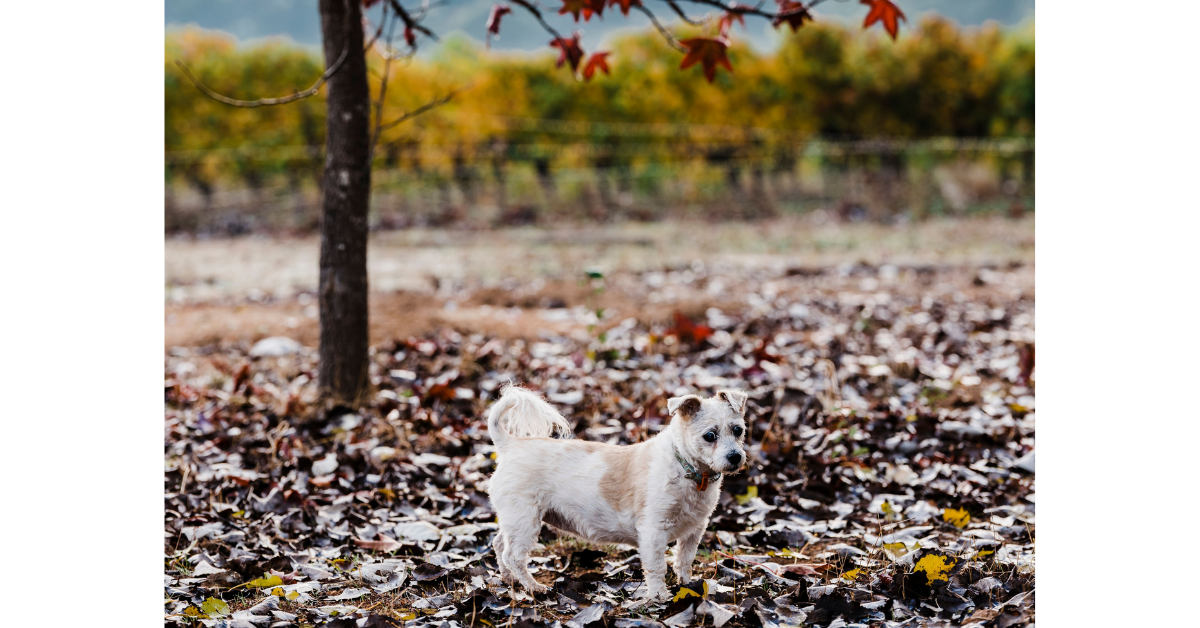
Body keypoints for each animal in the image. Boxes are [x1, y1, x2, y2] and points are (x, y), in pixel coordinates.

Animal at [480, 384, 744, 600]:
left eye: (738, 430)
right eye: (709, 436)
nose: (735, 457)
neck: (688, 470)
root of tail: (509, 445)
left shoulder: (694, 529)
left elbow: (684, 560)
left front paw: (688, 585)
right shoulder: (653, 531)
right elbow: (657, 566)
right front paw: (659, 596)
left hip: (515, 520)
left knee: (499, 545)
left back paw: (509, 579)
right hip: (525, 520)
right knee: (513, 556)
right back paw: (533, 587)